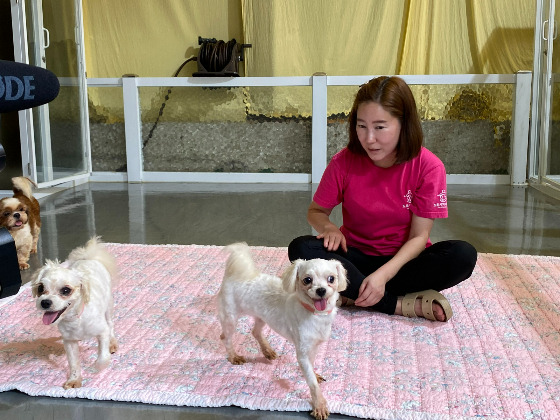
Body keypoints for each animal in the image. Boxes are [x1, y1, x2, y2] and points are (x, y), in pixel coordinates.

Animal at [31, 238, 117, 388]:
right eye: (40, 288)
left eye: (66, 290)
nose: (45, 302)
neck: (76, 319)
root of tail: (89, 258)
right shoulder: (69, 342)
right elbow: (74, 364)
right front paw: (74, 380)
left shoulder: (102, 332)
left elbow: (103, 357)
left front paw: (96, 367)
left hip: (108, 307)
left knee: (111, 324)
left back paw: (112, 342)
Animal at [218, 243, 346, 420]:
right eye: (307, 280)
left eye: (331, 278)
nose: (321, 290)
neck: (314, 314)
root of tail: (232, 275)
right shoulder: (302, 352)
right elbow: (312, 384)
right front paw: (319, 405)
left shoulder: (313, 346)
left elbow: (312, 367)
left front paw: (314, 374)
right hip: (230, 317)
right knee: (225, 337)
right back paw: (233, 356)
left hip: (262, 317)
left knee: (255, 332)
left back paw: (267, 350)